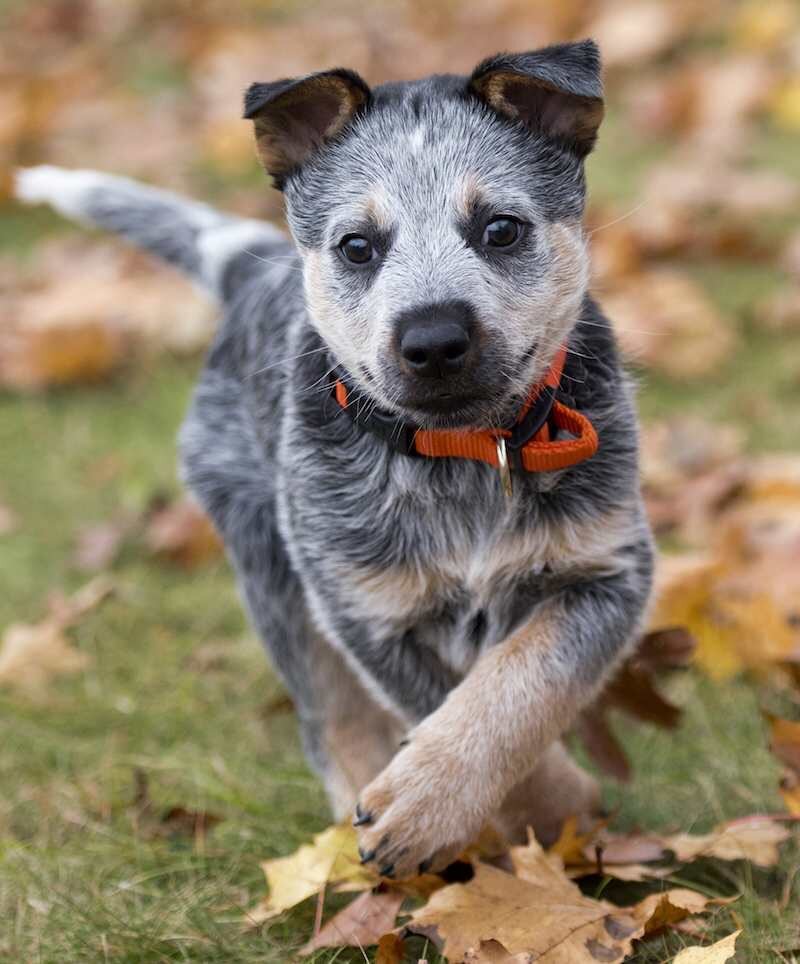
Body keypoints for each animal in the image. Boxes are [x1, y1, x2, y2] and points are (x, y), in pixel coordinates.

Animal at [17, 39, 656, 880]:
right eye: (358, 246)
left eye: (501, 229)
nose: (433, 338)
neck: (463, 457)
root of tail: (251, 270)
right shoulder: (364, 609)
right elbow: (441, 698)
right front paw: (459, 807)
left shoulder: (609, 569)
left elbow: (519, 682)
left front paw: (485, 802)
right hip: (272, 572)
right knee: (331, 717)